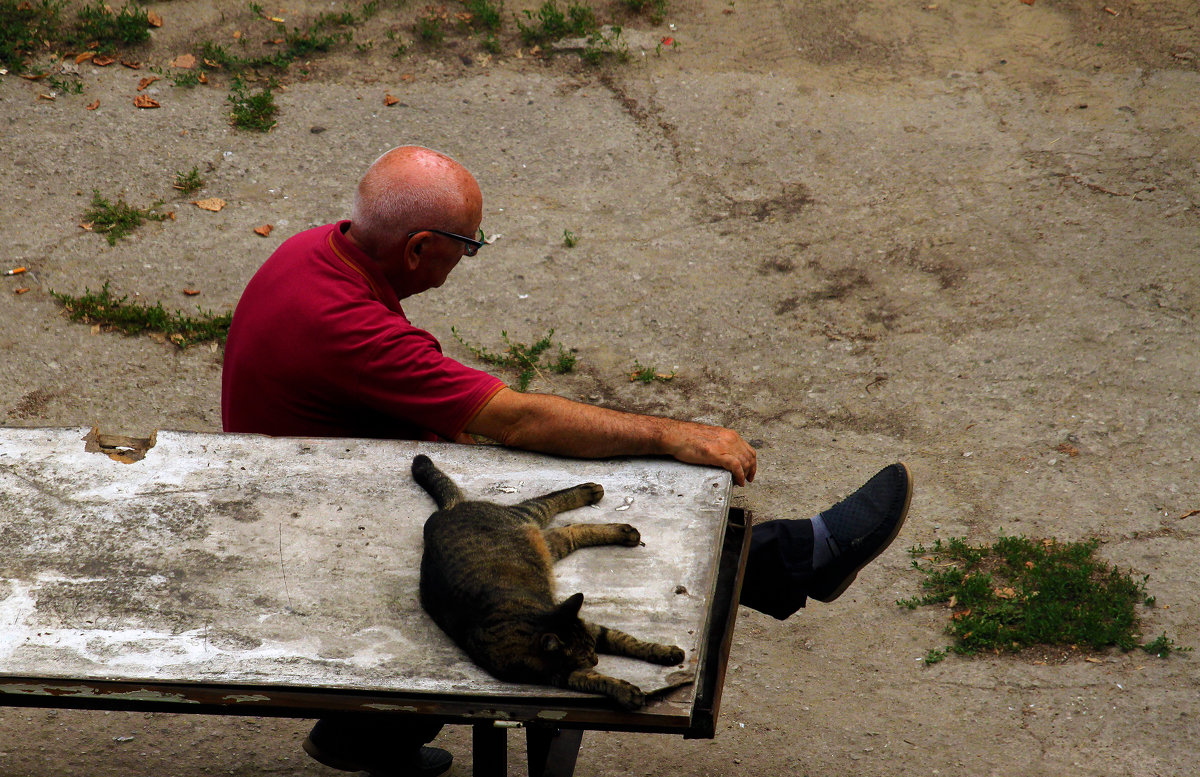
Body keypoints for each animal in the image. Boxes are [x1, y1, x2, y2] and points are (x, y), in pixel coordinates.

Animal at [415, 453, 686, 714]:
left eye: (592, 650)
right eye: (585, 657)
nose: (596, 659)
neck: (527, 624)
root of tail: (447, 510)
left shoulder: (587, 626)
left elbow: (626, 640)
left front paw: (665, 651)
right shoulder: (559, 674)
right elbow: (598, 679)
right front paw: (625, 691)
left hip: (529, 517)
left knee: (550, 503)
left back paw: (593, 495)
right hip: (546, 542)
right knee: (570, 530)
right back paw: (618, 525)